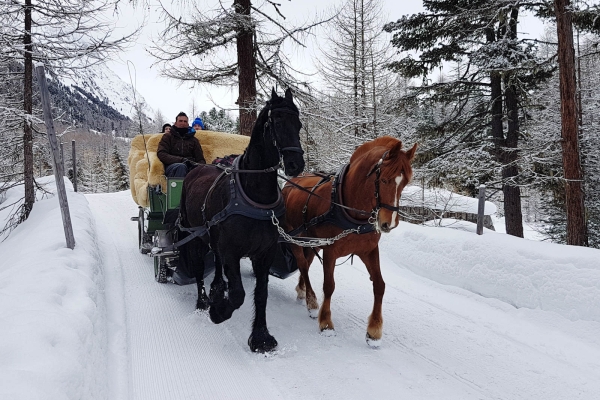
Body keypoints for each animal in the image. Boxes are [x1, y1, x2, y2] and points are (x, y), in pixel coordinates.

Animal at [178, 88, 304, 354]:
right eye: (277, 122)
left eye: (298, 124)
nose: (296, 164)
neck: (255, 194)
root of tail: (194, 167)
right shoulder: (232, 252)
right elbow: (238, 294)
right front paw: (219, 312)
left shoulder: (264, 253)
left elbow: (261, 294)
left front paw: (261, 336)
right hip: (193, 237)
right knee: (198, 269)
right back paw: (204, 301)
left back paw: (217, 289)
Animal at [282, 136, 418, 346]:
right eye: (384, 179)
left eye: (405, 183)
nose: (389, 223)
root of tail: (291, 182)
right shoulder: (330, 250)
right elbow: (329, 286)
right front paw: (326, 323)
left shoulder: (369, 250)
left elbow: (380, 285)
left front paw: (374, 330)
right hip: (294, 238)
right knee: (303, 265)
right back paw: (312, 302)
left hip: (312, 242)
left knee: (307, 263)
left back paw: (302, 290)